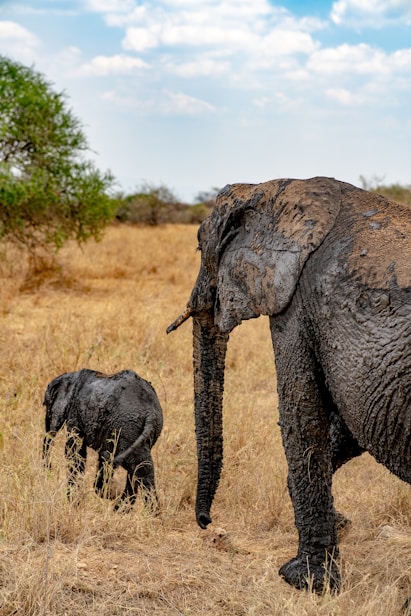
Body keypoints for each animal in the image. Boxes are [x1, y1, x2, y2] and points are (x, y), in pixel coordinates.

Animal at [43, 368, 163, 508]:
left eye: (47, 405)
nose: (49, 468)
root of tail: (150, 413)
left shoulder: (74, 413)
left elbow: (75, 452)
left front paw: (74, 503)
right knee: (141, 467)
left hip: (126, 429)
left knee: (134, 466)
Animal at [167, 177, 411, 592]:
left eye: (201, 246)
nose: (205, 523)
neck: (269, 188)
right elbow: (349, 425)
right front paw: (341, 526)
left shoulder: (296, 304)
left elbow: (301, 414)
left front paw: (303, 580)